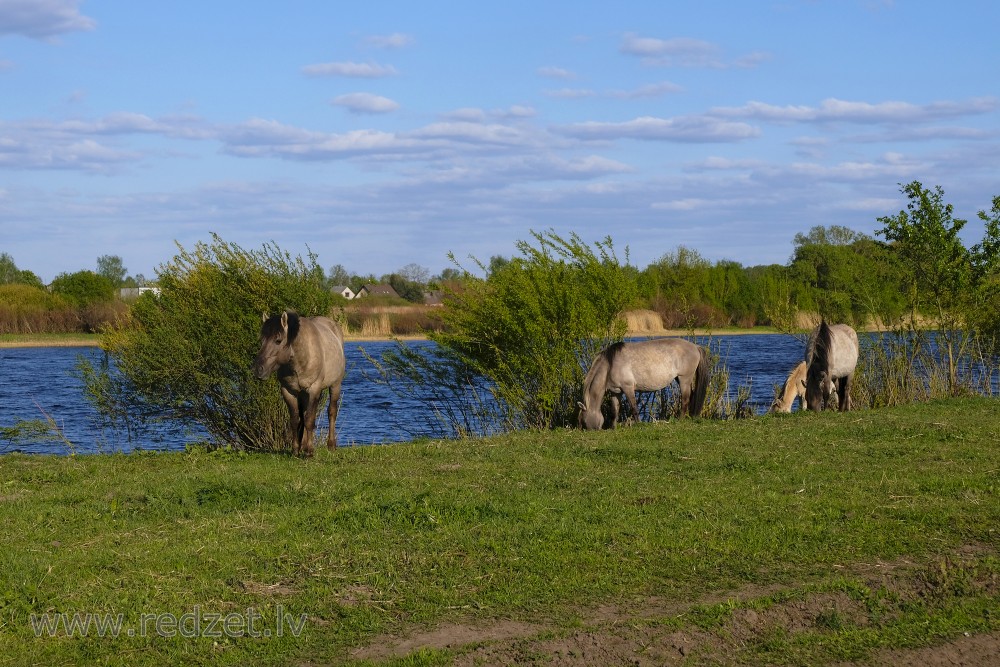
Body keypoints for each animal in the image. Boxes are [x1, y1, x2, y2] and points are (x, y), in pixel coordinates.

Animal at [254, 310, 348, 456]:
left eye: (278, 340)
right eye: (262, 340)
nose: (259, 369)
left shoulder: (314, 389)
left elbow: (310, 419)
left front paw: (309, 452)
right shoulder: (288, 391)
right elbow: (295, 420)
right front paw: (295, 450)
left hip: (335, 385)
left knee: (331, 412)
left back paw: (331, 445)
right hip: (303, 393)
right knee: (303, 415)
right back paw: (303, 445)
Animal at [580, 336, 712, 430]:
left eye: (583, 421)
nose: (584, 430)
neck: (610, 365)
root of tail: (695, 346)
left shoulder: (628, 388)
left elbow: (634, 408)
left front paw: (638, 424)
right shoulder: (616, 392)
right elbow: (614, 410)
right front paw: (613, 428)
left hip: (684, 379)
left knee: (685, 399)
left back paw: (681, 419)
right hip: (680, 379)